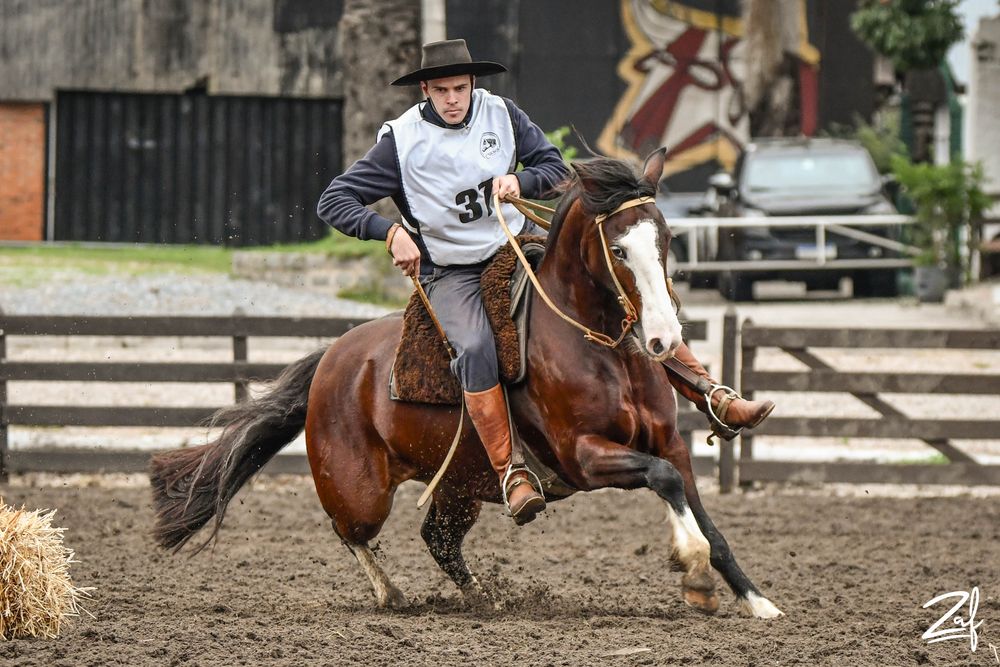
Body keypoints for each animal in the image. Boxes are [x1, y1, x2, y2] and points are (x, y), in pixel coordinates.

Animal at [149, 148, 783, 619]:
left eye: (667, 240)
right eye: (619, 248)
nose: (663, 338)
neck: (601, 350)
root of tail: (332, 359)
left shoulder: (671, 444)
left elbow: (702, 514)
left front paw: (755, 600)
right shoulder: (584, 457)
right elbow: (664, 483)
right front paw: (693, 573)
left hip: (458, 485)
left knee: (438, 538)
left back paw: (481, 598)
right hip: (360, 490)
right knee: (351, 531)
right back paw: (392, 593)